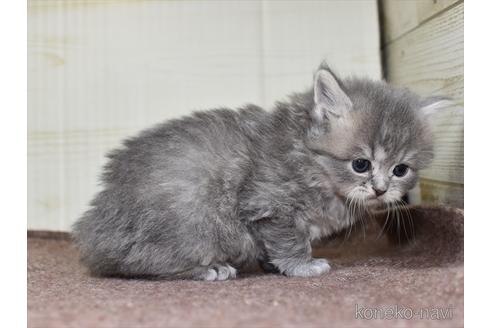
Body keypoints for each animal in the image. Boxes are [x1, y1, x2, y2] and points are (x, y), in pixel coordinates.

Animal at [72, 64, 446, 280]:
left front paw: (272, 264)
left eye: (400, 170)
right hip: (189, 219)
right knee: (138, 263)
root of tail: (95, 225)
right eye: (361, 164)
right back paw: (209, 268)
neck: (309, 160)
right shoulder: (269, 205)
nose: (381, 189)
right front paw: (302, 266)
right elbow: (290, 239)